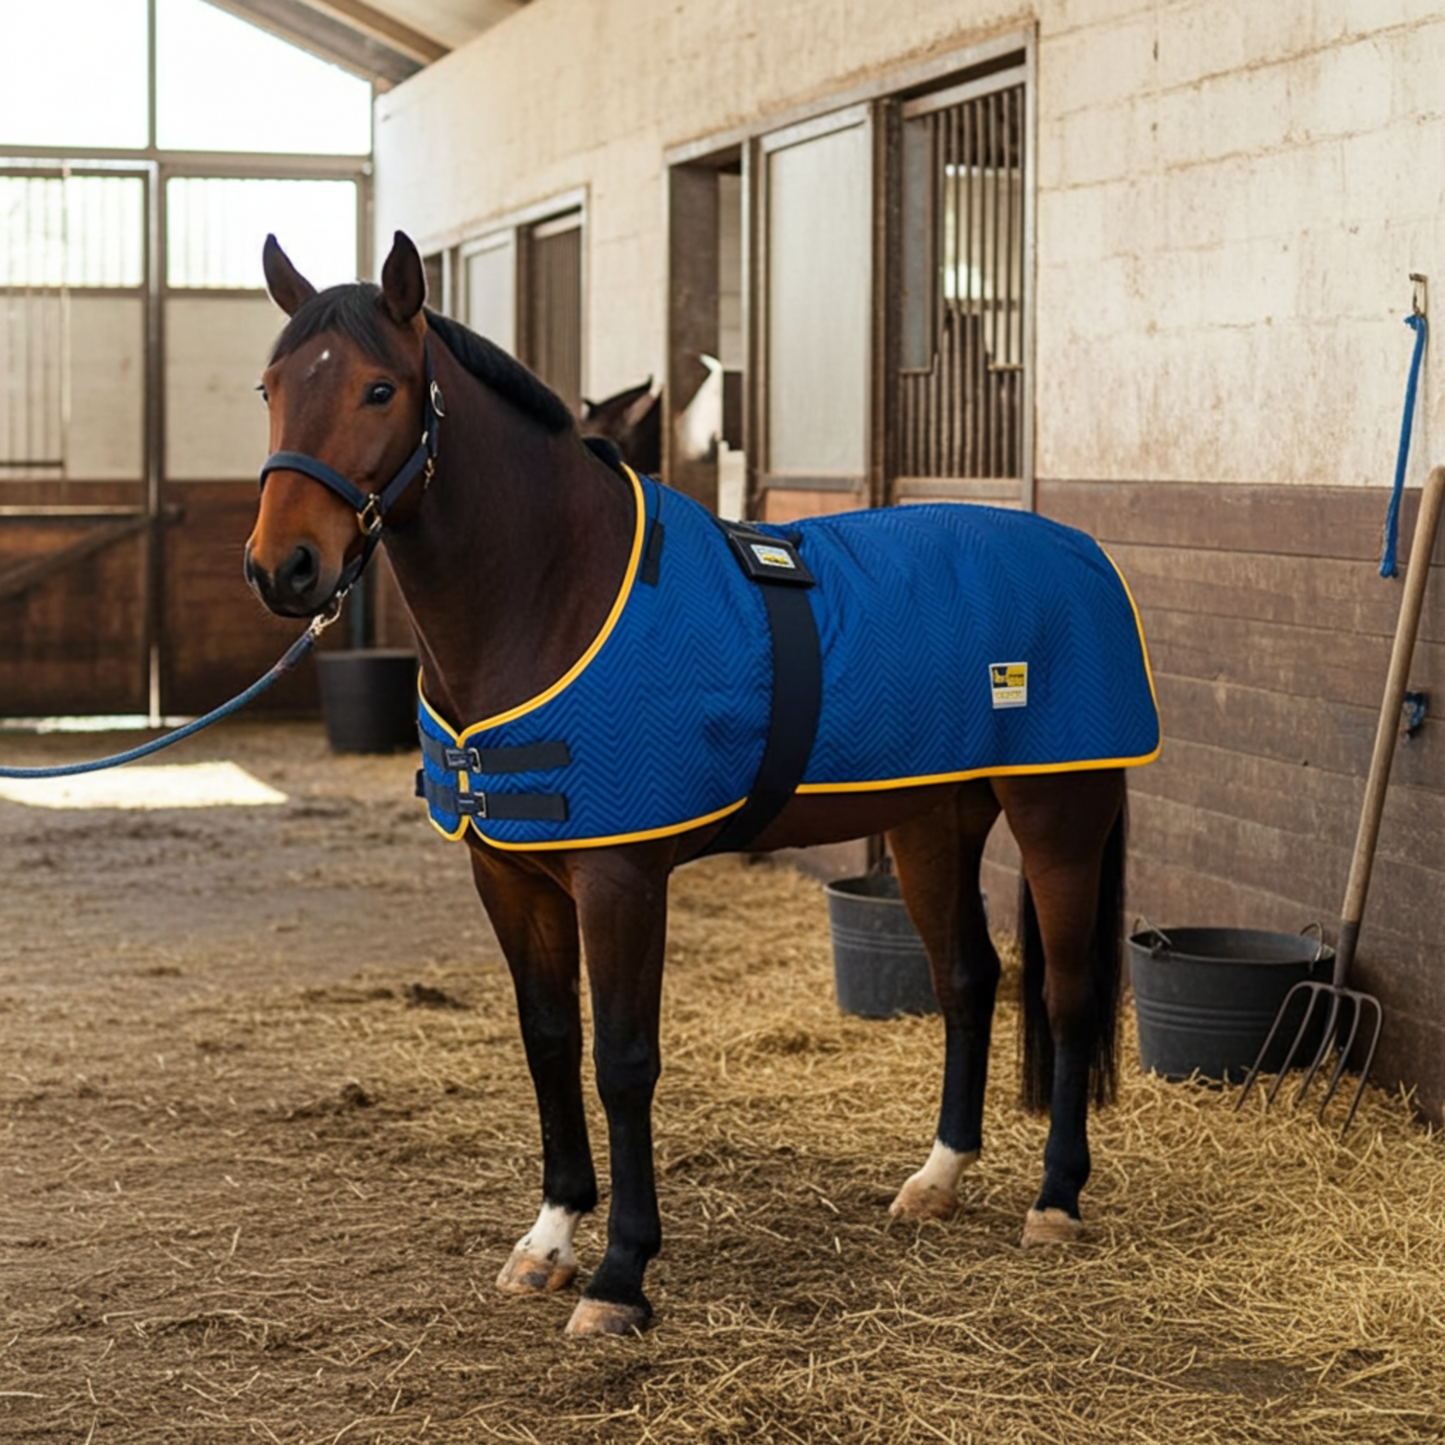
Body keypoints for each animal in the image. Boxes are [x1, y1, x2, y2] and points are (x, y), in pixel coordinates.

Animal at [244, 230, 1159, 1338]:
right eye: (270, 387)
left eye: (379, 388)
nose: (284, 568)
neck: (555, 592)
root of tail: (1077, 550)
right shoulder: (506, 876)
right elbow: (549, 1041)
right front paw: (549, 1239)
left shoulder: (622, 879)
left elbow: (622, 1059)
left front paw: (619, 1275)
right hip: (932, 821)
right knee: (967, 979)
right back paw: (936, 1180)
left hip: (1057, 816)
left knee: (1067, 991)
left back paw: (1056, 1199)